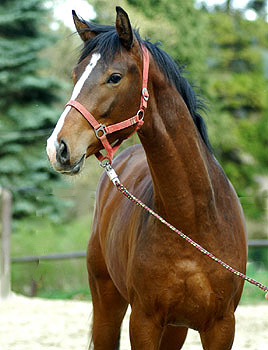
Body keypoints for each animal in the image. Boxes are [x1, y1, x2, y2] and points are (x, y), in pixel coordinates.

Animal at [46, 6, 247, 350]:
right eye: (75, 76)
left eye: (114, 77)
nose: (57, 147)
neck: (191, 220)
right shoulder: (143, 322)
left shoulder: (222, 327)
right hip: (107, 303)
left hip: (176, 328)